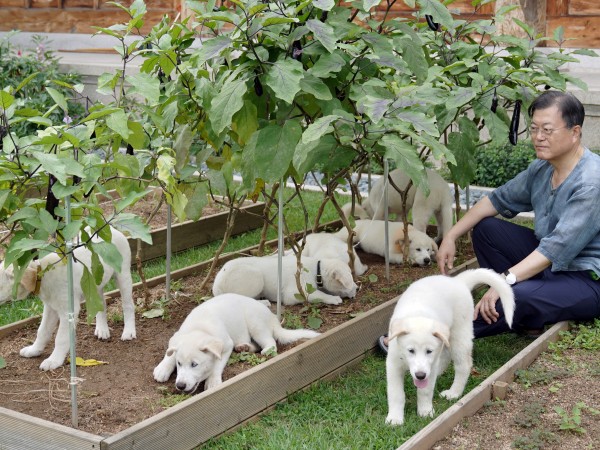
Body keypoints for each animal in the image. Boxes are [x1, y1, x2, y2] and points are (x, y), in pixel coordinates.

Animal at [0, 227, 136, 370]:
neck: (43, 274)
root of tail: (112, 229)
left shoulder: (68, 312)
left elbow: (61, 338)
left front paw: (54, 360)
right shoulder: (50, 308)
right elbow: (42, 331)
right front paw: (34, 350)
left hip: (123, 275)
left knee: (128, 305)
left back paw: (129, 332)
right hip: (95, 284)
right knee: (101, 305)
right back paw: (102, 329)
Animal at [155, 294, 322, 392]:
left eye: (194, 364)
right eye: (179, 364)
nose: (180, 385)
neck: (199, 328)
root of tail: (273, 317)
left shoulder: (226, 344)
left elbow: (217, 364)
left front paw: (213, 381)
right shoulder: (178, 337)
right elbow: (170, 352)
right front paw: (162, 368)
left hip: (256, 323)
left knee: (270, 342)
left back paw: (266, 350)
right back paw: (244, 347)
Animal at [213, 253, 358, 306]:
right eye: (349, 281)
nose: (357, 288)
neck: (317, 269)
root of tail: (216, 287)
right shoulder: (294, 293)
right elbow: (318, 294)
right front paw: (333, 299)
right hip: (256, 277)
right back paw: (264, 302)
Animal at [386, 268, 512, 428]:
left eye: (429, 351)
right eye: (411, 351)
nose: (420, 375)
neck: (418, 314)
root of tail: (458, 281)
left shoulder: (431, 362)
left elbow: (425, 391)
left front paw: (425, 411)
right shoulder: (393, 364)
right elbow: (396, 393)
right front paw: (394, 418)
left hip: (459, 335)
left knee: (463, 365)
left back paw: (454, 392)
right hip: (445, 338)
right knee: (445, 356)